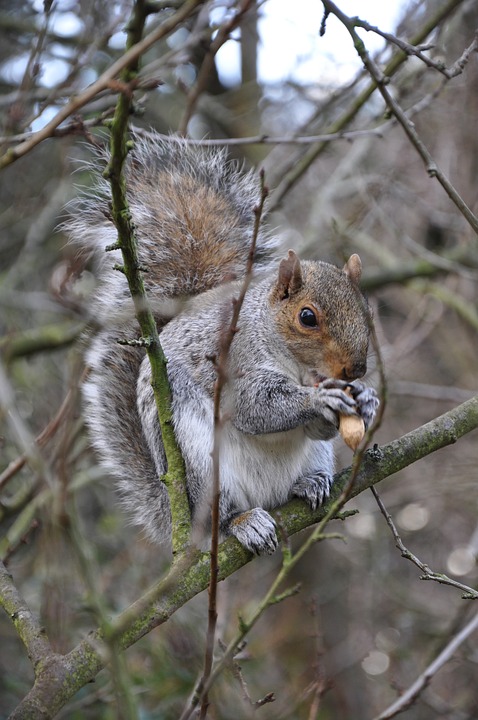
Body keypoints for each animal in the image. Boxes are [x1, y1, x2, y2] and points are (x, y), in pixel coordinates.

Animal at [66, 133, 379, 555]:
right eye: (307, 317)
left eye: (367, 310)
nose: (356, 369)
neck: (298, 366)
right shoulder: (233, 360)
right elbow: (254, 405)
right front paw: (319, 399)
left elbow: (318, 427)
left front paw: (367, 398)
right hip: (200, 464)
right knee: (225, 514)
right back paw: (245, 523)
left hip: (312, 458)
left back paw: (309, 484)